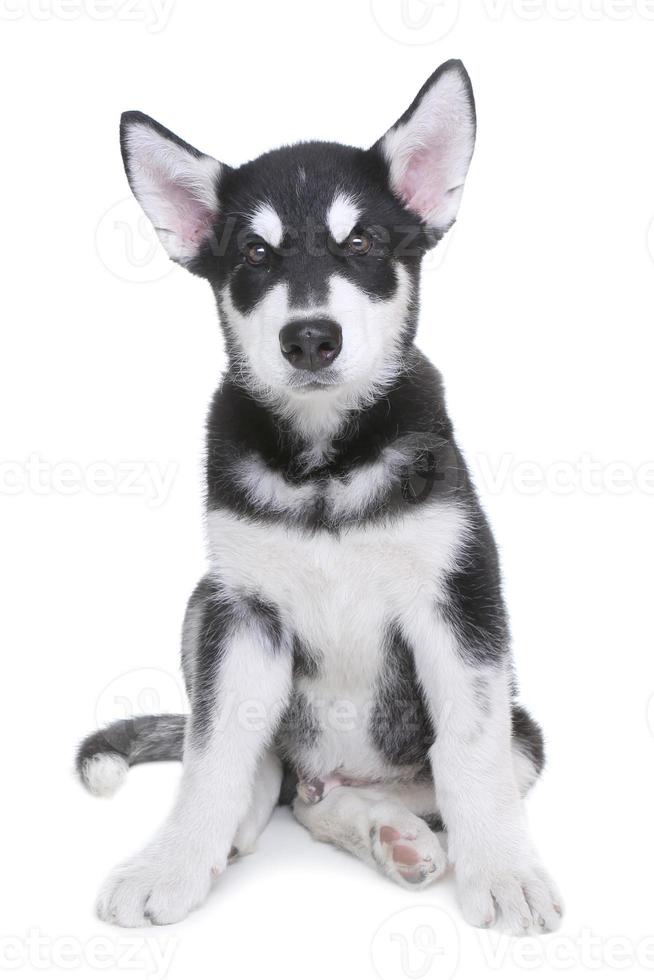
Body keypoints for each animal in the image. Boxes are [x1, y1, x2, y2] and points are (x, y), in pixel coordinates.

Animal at [78, 59, 564, 936]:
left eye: (361, 243)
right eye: (255, 252)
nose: (309, 337)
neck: (323, 468)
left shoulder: (460, 599)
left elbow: (468, 752)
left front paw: (505, 875)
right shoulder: (244, 613)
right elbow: (212, 751)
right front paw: (173, 859)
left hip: (525, 731)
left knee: (373, 786)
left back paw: (392, 832)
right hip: (202, 602)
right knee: (278, 776)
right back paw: (261, 827)